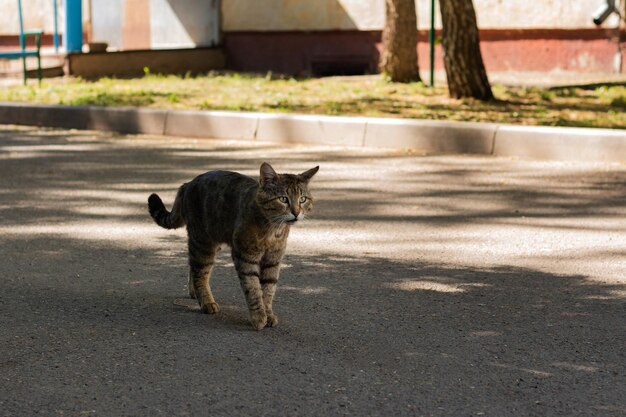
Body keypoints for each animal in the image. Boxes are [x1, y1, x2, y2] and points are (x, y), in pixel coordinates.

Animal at [149, 162, 320, 328]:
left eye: (303, 199)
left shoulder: (273, 259)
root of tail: (187, 184)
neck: (273, 229)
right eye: (283, 199)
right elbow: (253, 288)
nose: (296, 213)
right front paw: (259, 317)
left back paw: (194, 293)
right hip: (203, 243)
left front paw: (268, 314)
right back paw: (206, 302)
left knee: (194, 267)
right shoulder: (245, 256)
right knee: (200, 274)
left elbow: (268, 289)